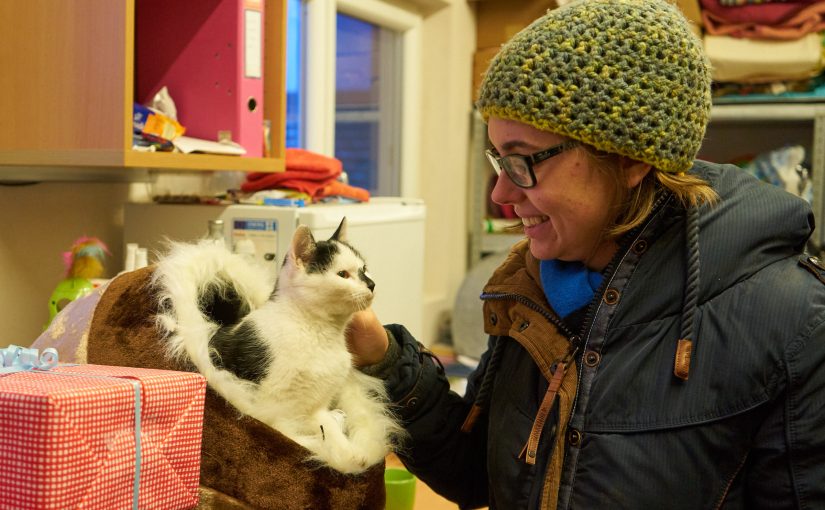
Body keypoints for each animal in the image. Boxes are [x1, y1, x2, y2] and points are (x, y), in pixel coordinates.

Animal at [153, 217, 404, 472]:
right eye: (343, 274)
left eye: (364, 269)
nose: (371, 284)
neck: (318, 332)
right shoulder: (268, 406)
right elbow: (286, 432)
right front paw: (317, 449)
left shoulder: (316, 406)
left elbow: (330, 427)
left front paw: (347, 455)